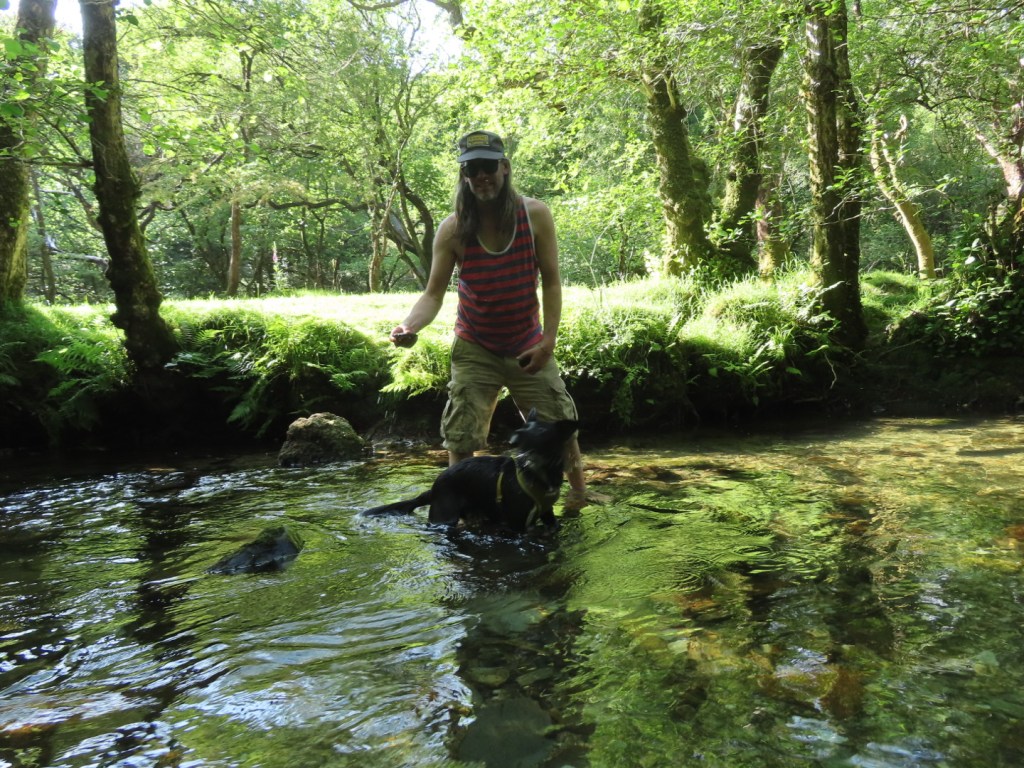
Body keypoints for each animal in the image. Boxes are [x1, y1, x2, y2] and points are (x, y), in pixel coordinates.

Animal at [364, 409, 579, 532]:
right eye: (524, 426)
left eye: (541, 431)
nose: (513, 438)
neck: (538, 471)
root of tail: (434, 488)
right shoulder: (517, 524)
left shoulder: (548, 514)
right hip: (445, 518)